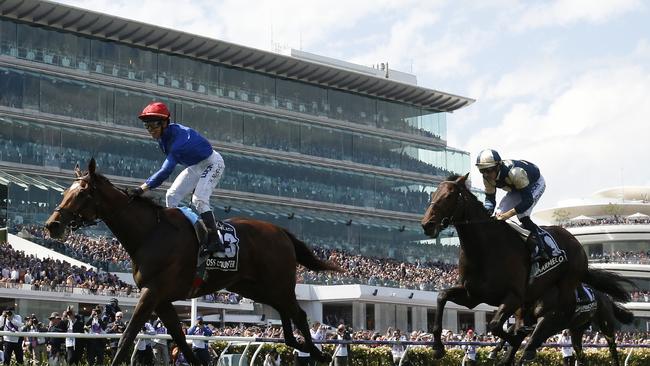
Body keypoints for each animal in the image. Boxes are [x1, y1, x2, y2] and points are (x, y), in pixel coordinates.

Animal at [43, 159, 342, 366]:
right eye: (66, 191)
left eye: (82, 193)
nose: (52, 225)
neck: (150, 232)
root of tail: (281, 231)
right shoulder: (161, 299)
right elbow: (181, 340)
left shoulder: (152, 292)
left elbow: (127, 337)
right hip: (252, 287)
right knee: (285, 312)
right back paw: (298, 344)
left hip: (278, 282)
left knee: (298, 313)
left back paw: (317, 352)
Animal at [420, 174, 624, 364]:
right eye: (433, 194)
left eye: (449, 195)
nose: (427, 224)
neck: (485, 249)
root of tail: (575, 242)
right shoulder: (473, 296)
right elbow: (442, 296)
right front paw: (438, 347)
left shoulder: (514, 297)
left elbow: (497, 326)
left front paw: (513, 346)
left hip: (579, 298)